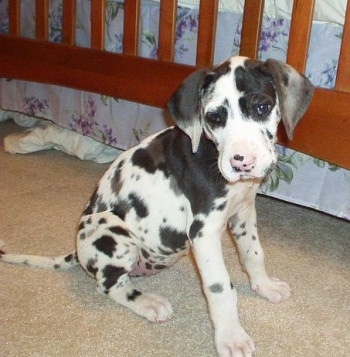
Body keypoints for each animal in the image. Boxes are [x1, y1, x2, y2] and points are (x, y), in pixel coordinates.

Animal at [0, 56, 314, 356]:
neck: (210, 151)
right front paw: (231, 338)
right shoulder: (204, 231)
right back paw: (148, 303)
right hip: (111, 231)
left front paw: (265, 285)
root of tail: (77, 252)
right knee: (109, 285)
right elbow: (220, 288)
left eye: (262, 107)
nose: (242, 162)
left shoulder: (244, 212)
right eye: (214, 117)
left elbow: (253, 253)